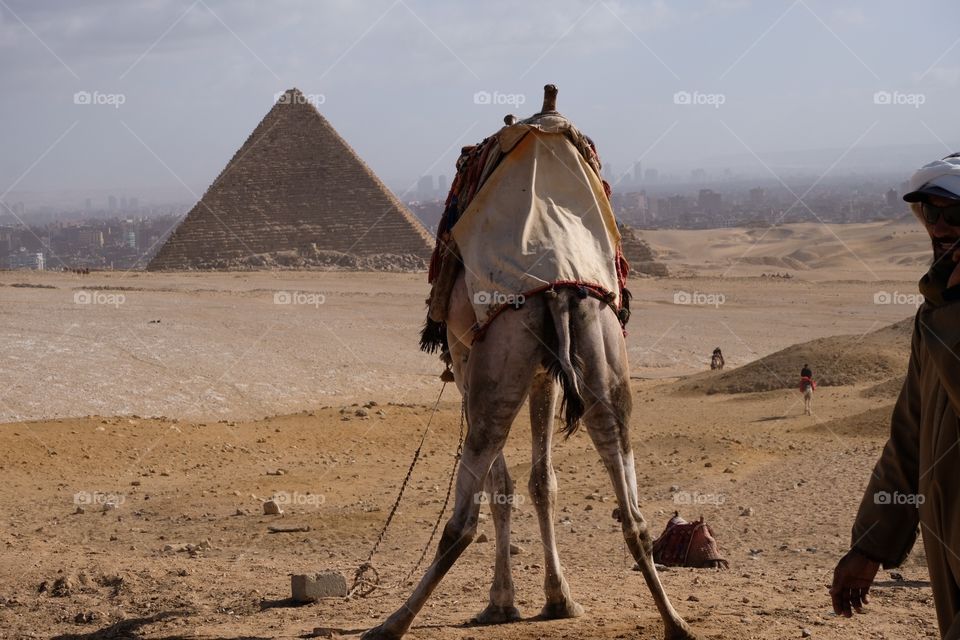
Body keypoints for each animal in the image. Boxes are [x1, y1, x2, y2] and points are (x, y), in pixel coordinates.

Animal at [361, 87, 697, 640]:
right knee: (633, 512)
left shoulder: (471, 369)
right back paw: (675, 622)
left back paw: (393, 621)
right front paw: (558, 598)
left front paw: (504, 603)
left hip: (493, 375)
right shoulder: (547, 378)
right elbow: (543, 482)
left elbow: (505, 486)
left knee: (462, 521)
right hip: (601, 363)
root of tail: (557, 285)